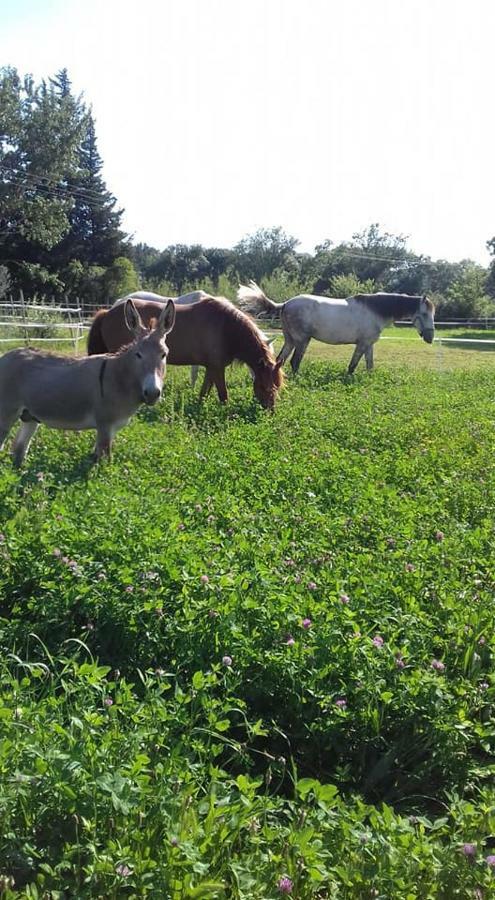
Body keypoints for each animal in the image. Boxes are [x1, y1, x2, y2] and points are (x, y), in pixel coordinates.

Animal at [0, 300, 176, 468]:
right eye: (138, 355)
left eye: (164, 354)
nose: (152, 393)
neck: (120, 377)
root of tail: (5, 357)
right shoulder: (105, 425)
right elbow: (104, 464)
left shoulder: (112, 428)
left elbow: (95, 458)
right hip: (7, 413)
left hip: (30, 417)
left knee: (18, 450)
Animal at [87, 296, 284, 408]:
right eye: (263, 386)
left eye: (277, 385)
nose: (270, 411)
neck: (226, 328)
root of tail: (106, 313)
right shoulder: (217, 368)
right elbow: (223, 395)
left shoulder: (211, 368)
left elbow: (204, 392)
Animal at [236, 284, 434, 376]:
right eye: (424, 313)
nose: (430, 338)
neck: (375, 310)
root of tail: (285, 304)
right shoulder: (362, 344)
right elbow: (353, 365)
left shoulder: (369, 344)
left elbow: (369, 365)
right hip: (302, 340)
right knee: (294, 362)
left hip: (290, 340)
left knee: (280, 360)